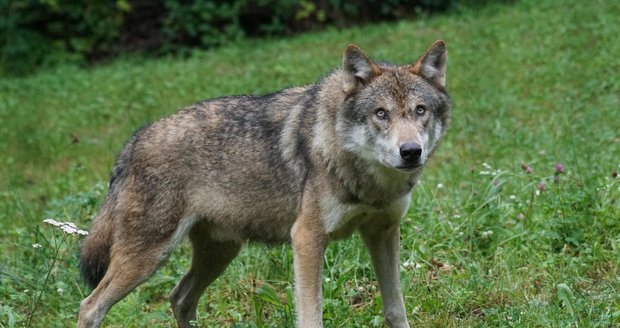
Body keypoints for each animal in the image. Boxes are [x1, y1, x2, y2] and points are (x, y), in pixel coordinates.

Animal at [77, 41, 450, 328]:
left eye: (420, 110)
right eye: (380, 114)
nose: (411, 151)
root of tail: (133, 141)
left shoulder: (383, 232)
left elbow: (395, 310)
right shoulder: (307, 239)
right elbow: (311, 317)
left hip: (220, 253)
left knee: (179, 298)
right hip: (149, 258)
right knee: (90, 306)